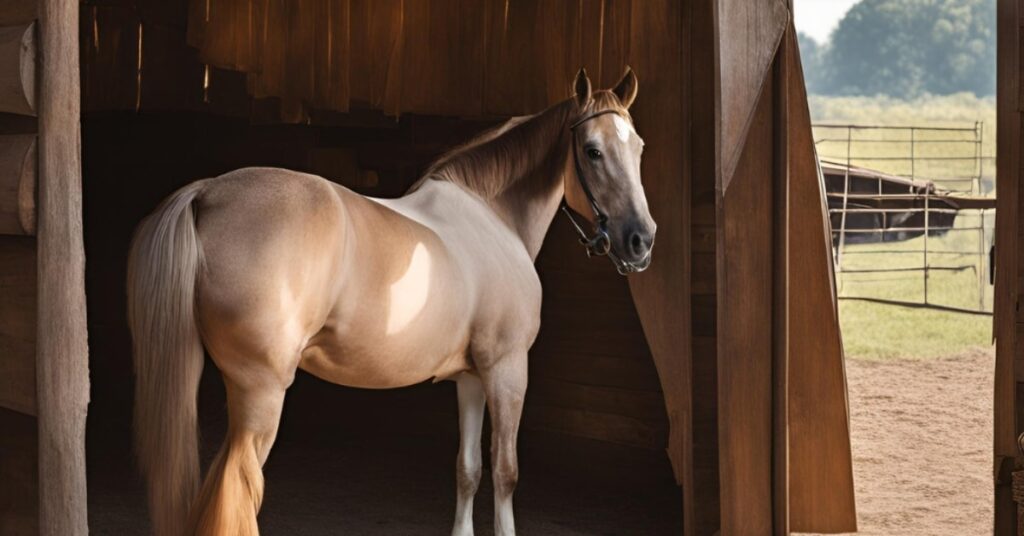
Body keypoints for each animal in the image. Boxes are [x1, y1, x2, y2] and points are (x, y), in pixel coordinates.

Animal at [128, 68, 655, 536]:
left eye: (639, 148)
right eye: (593, 151)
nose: (640, 241)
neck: (491, 216)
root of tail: (207, 193)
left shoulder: (470, 376)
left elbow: (468, 470)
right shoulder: (507, 370)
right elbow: (506, 471)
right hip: (260, 394)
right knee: (236, 490)